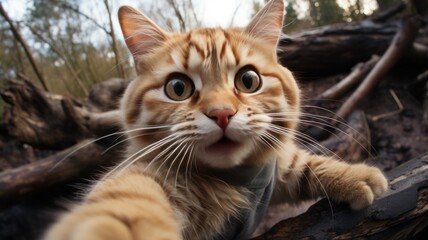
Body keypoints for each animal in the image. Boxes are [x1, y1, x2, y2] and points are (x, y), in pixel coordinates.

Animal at [43, 0, 388, 239]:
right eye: (178, 87)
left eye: (248, 80)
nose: (222, 113)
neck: (232, 180)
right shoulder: (143, 174)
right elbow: (128, 203)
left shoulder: (270, 171)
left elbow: (301, 163)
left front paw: (352, 175)